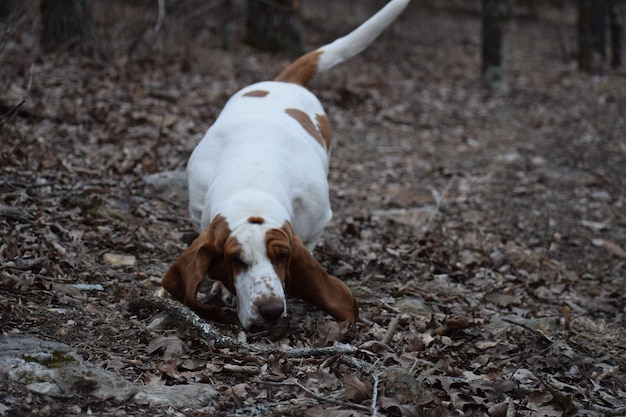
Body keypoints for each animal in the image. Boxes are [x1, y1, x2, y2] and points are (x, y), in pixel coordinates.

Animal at [161, 0, 410, 332]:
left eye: (281, 256)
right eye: (237, 260)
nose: (271, 311)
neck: (252, 178)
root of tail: (285, 82)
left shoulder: (316, 224)